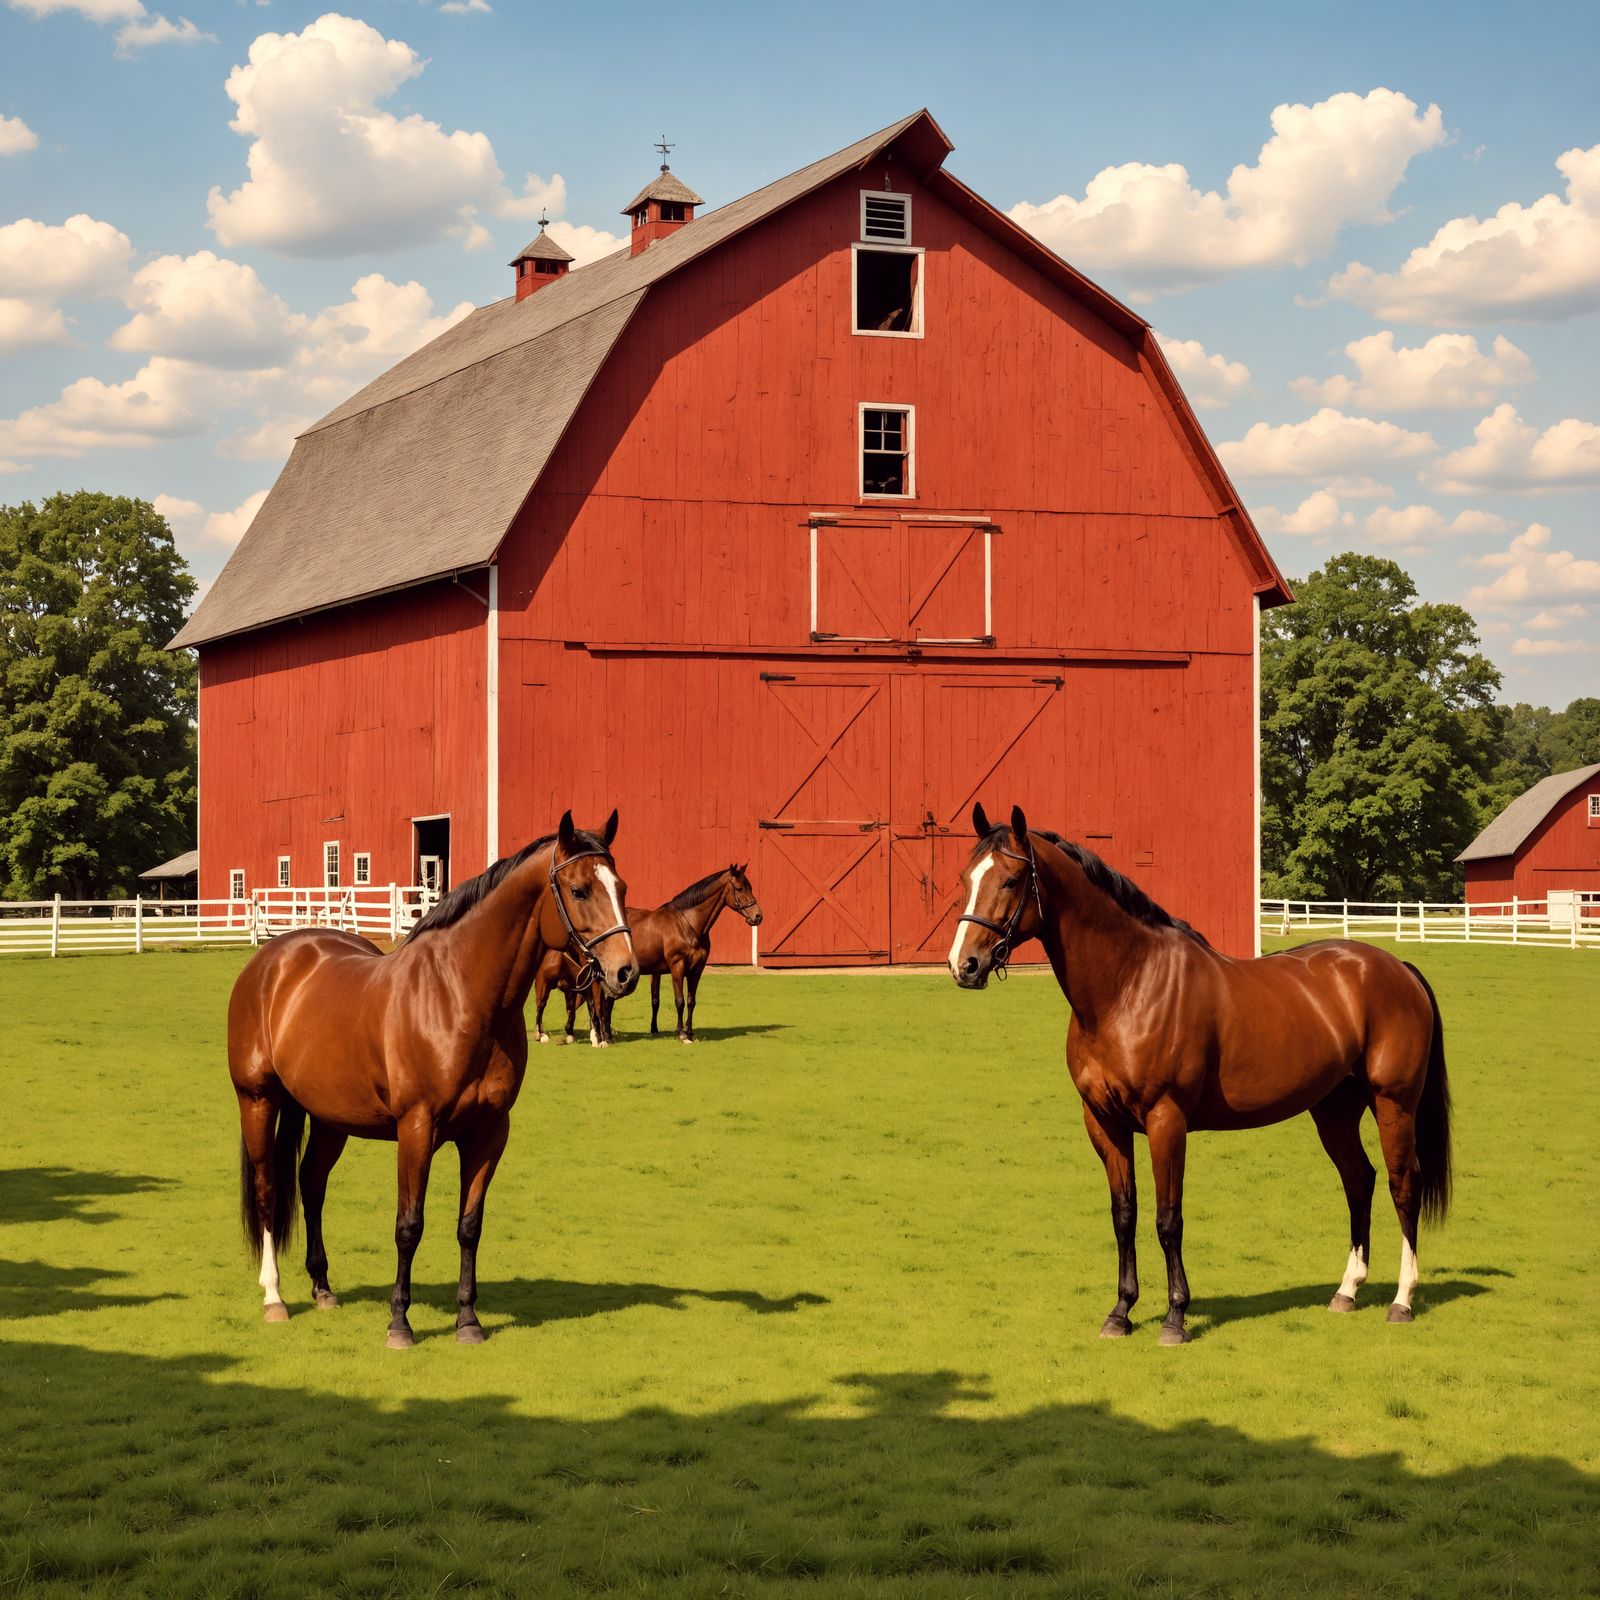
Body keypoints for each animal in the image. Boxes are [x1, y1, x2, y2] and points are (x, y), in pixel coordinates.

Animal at [227, 810, 636, 1348]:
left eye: (621, 887)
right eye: (580, 889)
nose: (625, 972)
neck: (458, 994)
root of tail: (271, 959)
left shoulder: (488, 1133)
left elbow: (469, 1226)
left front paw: (468, 1320)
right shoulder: (416, 1130)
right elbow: (409, 1225)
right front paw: (399, 1322)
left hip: (329, 1117)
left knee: (311, 1184)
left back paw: (322, 1288)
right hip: (258, 1099)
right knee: (269, 1189)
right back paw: (274, 1297)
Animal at [598, 864, 763, 1043]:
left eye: (750, 887)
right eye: (740, 888)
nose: (758, 916)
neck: (687, 925)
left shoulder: (696, 971)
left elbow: (691, 1001)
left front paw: (690, 1032)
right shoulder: (677, 968)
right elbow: (680, 1001)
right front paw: (682, 1034)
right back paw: (606, 1034)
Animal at [949, 804, 1451, 1345]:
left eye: (1011, 879)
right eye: (965, 878)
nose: (964, 964)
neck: (1130, 986)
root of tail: (1396, 967)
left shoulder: (1166, 1121)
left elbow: (1168, 1219)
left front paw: (1175, 1317)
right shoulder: (1104, 1123)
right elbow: (1124, 1215)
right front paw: (1120, 1312)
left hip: (1393, 1103)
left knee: (1403, 1184)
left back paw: (1402, 1300)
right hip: (1334, 1111)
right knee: (1359, 1181)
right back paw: (1347, 1292)